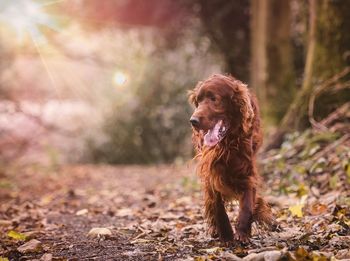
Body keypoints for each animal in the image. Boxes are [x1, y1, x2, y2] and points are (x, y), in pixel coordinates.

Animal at [189, 73, 274, 242]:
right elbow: (217, 205)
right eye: (198, 101)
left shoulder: (248, 173)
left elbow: (247, 204)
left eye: (214, 98)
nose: (193, 121)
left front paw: (242, 231)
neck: (227, 144)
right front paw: (226, 233)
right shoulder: (211, 172)